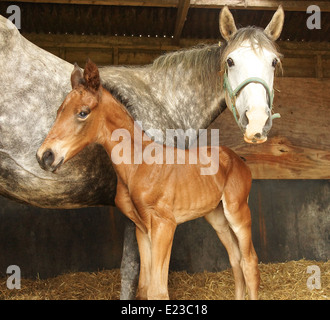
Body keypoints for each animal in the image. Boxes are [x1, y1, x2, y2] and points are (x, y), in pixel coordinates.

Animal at [37, 60, 260, 300]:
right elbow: (144, 287)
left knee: (249, 261)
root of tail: (238, 159)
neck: (138, 165)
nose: (45, 156)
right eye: (59, 110)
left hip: (237, 212)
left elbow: (157, 291)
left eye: (82, 113)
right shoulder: (142, 229)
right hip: (217, 217)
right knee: (235, 259)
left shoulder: (165, 224)